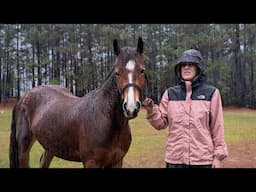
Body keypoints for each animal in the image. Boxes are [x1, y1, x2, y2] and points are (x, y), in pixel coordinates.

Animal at [9, 36, 146, 167]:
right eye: (117, 73)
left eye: (142, 70)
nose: (131, 107)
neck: (106, 120)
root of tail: (23, 97)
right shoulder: (91, 162)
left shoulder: (117, 161)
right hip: (23, 148)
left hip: (51, 147)